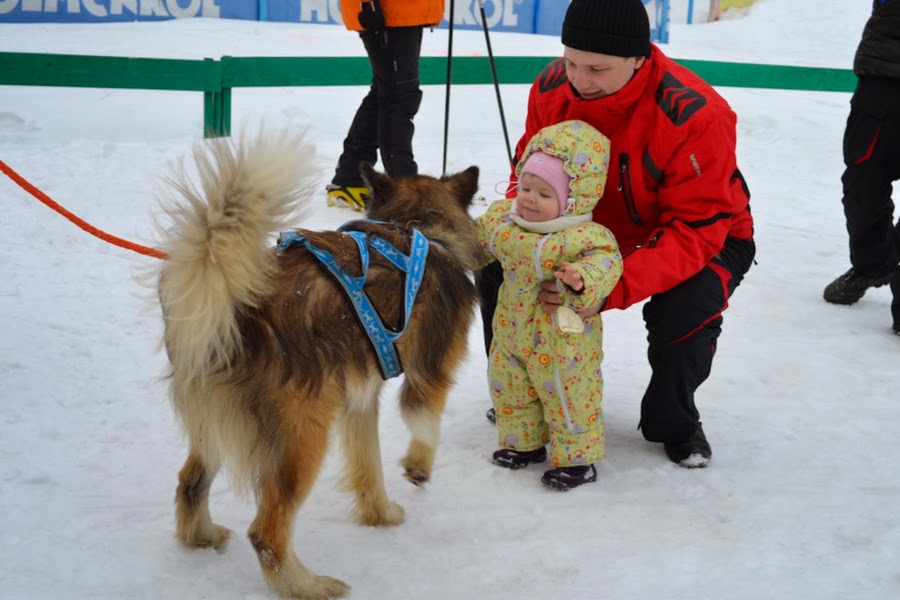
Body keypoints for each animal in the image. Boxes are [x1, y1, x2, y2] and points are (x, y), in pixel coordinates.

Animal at [155, 129, 482, 596]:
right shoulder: (431, 372)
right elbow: (423, 422)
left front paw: (380, 513)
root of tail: (238, 308)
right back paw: (305, 585)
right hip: (303, 435)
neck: (417, 226)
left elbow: (369, 463)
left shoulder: (361, 399)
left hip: (213, 422)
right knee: (266, 532)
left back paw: (202, 536)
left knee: (189, 483)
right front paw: (417, 467)